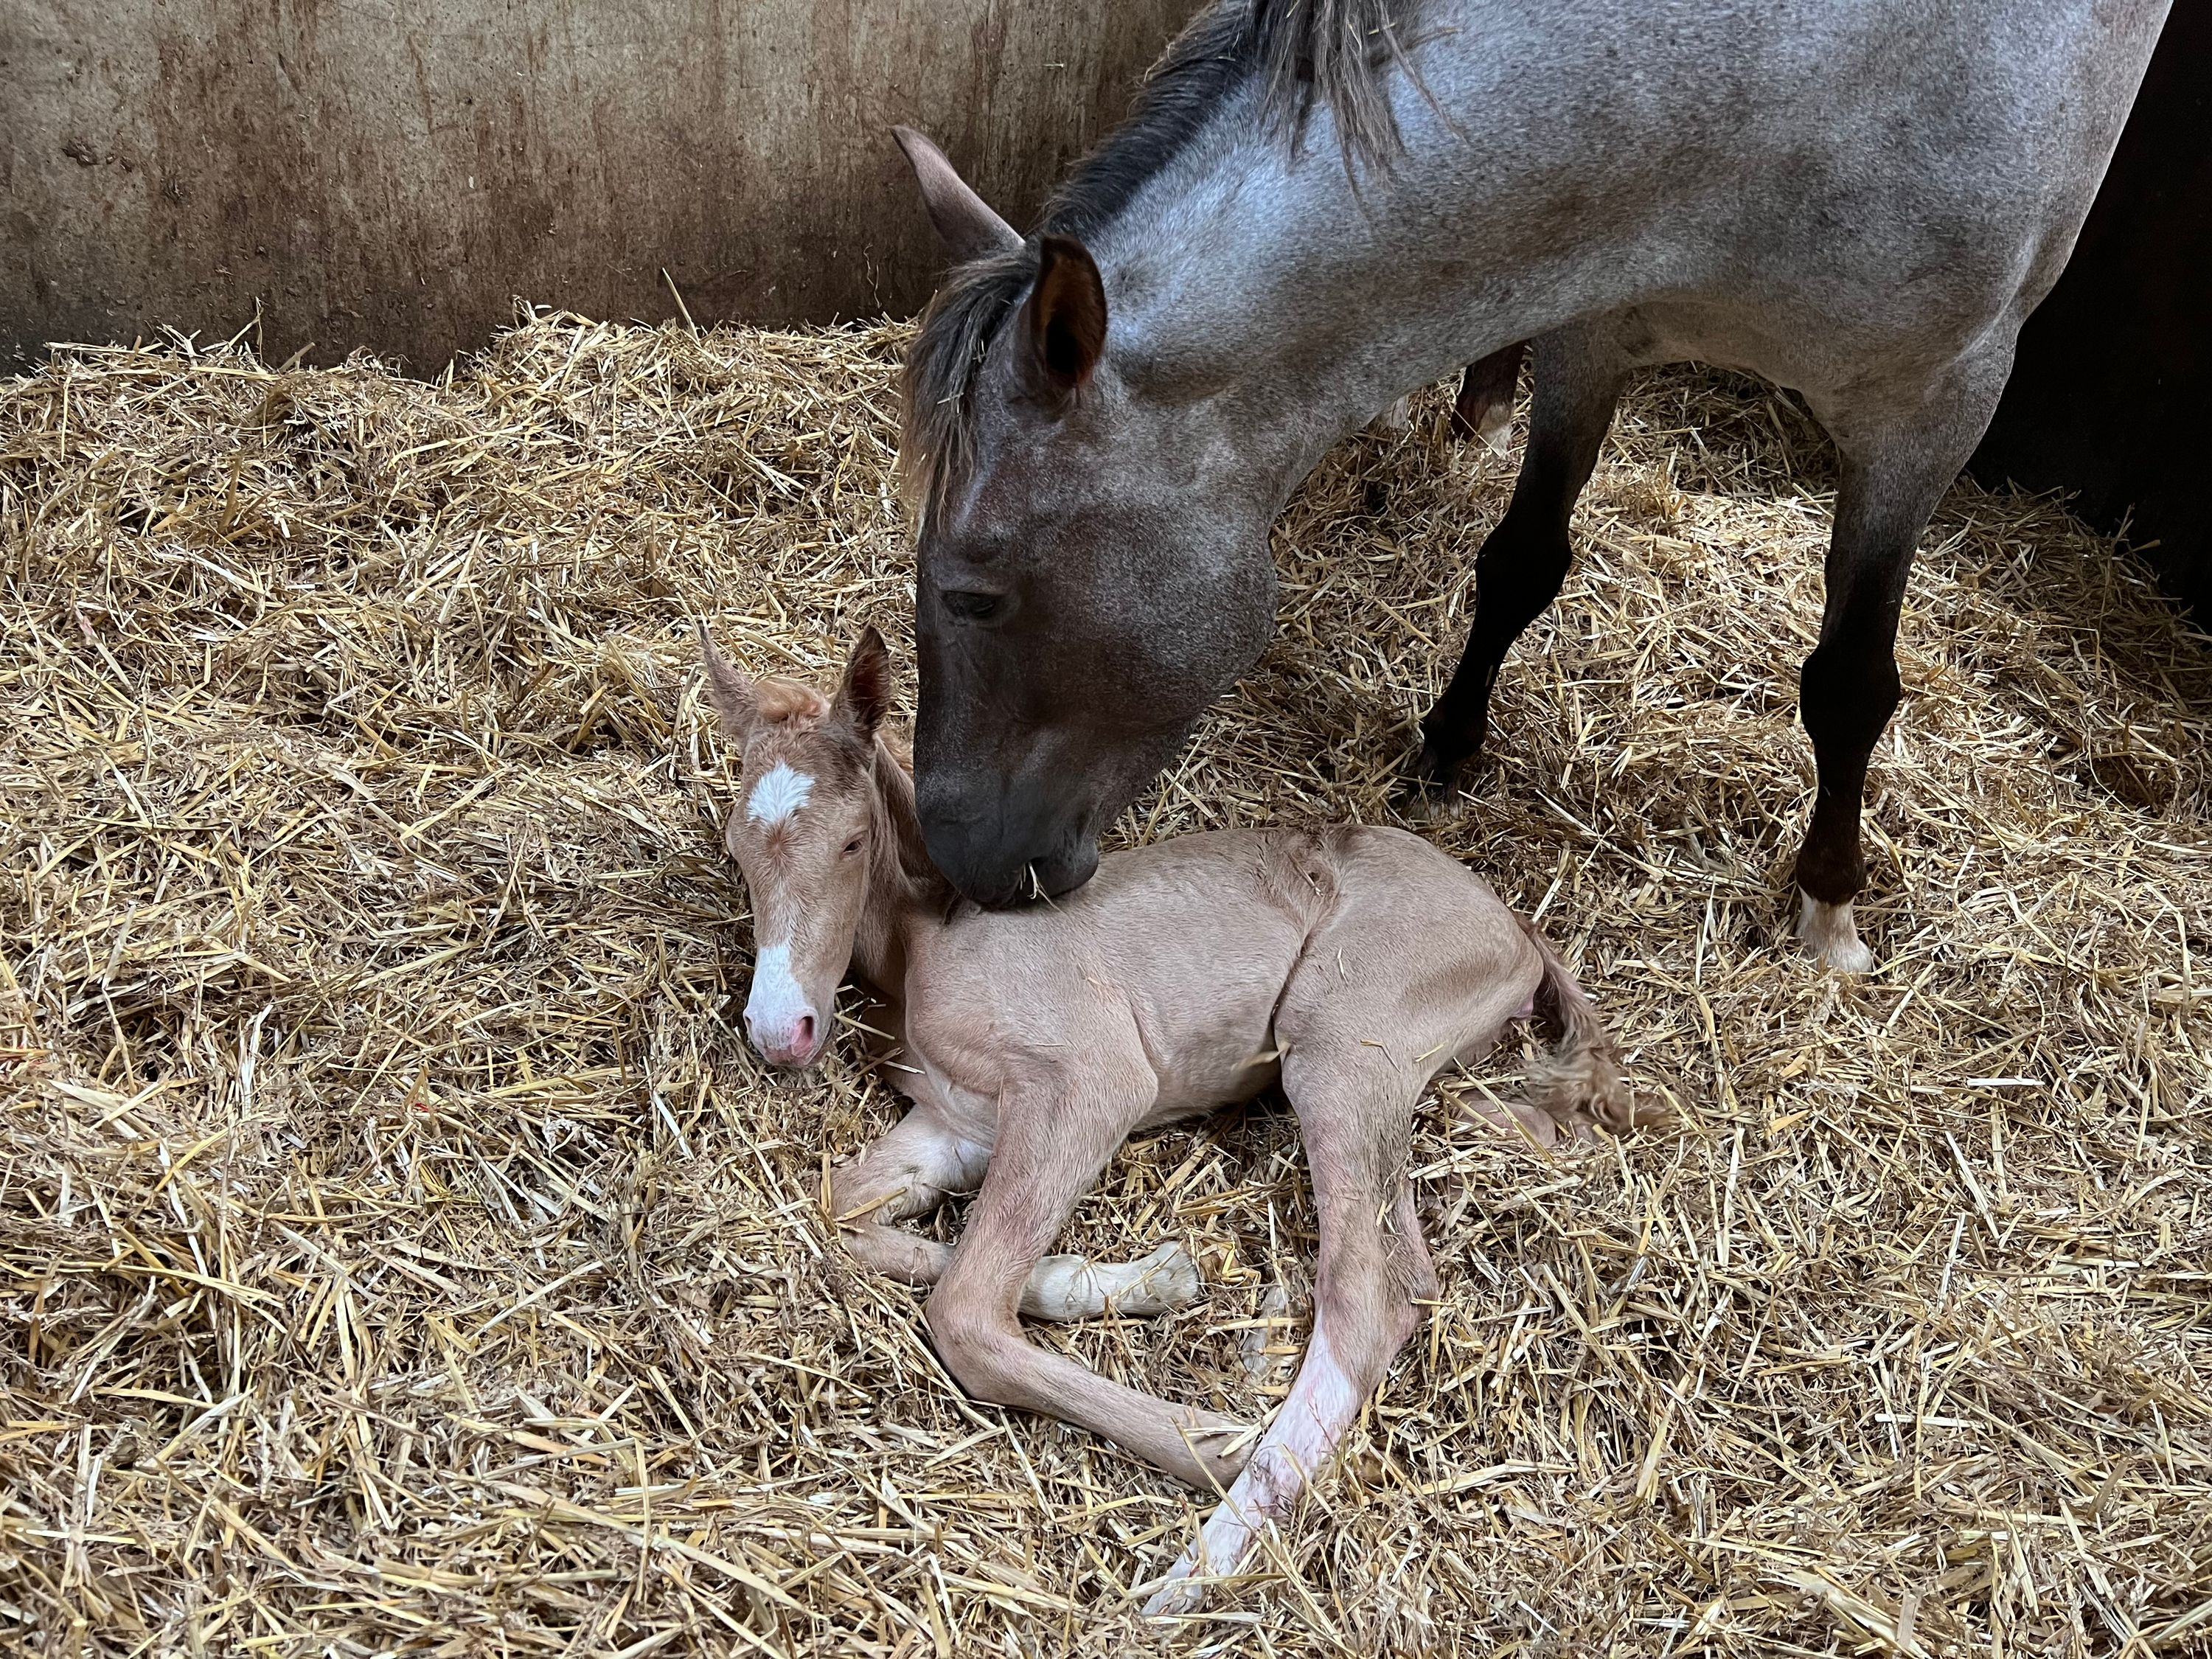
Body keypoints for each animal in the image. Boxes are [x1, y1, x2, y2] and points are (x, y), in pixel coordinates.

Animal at [697, 624, 1646, 1611]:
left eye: (850, 842)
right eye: (738, 848)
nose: (779, 1031)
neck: (931, 936)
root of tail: (1518, 930)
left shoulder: (1090, 1080)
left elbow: (965, 1309)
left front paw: (1212, 1436)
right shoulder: (955, 1127)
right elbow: (841, 1214)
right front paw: (1150, 1279)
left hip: (1344, 1045)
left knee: (1371, 1293)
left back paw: (1209, 1554)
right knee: (1409, 1267)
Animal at [889, 0, 2170, 971]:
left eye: (975, 594)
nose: (948, 851)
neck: (1778, 88)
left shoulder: (1935, 409)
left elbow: (1852, 682)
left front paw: (1829, 908)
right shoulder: (1595, 321)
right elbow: (1519, 562)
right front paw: (1447, 750)